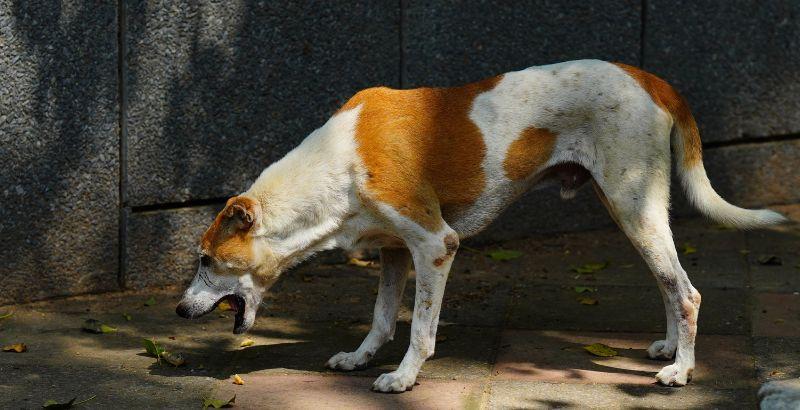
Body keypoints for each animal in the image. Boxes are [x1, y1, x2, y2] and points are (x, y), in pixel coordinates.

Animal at [177, 60, 788, 390]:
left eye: (206, 261)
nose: (179, 310)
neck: (337, 163)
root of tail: (653, 78)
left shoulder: (434, 244)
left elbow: (420, 329)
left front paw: (403, 378)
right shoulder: (395, 252)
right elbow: (381, 318)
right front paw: (360, 358)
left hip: (632, 206)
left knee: (687, 292)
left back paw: (682, 372)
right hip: (635, 212)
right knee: (669, 285)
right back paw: (668, 350)